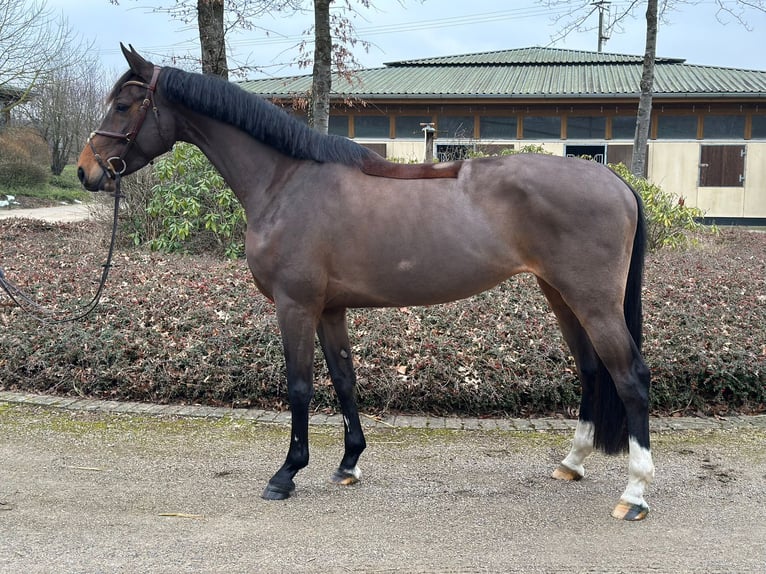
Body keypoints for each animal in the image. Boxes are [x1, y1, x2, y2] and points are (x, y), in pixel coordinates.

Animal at [77, 45, 654, 521]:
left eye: (124, 105)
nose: (87, 171)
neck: (286, 181)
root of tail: (615, 179)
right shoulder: (330, 308)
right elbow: (343, 379)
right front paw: (348, 463)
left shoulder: (295, 305)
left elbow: (300, 385)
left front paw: (287, 473)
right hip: (560, 294)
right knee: (590, 369)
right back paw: (572, 462)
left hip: (593, 301)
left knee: (630, 377)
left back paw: (635, 493)